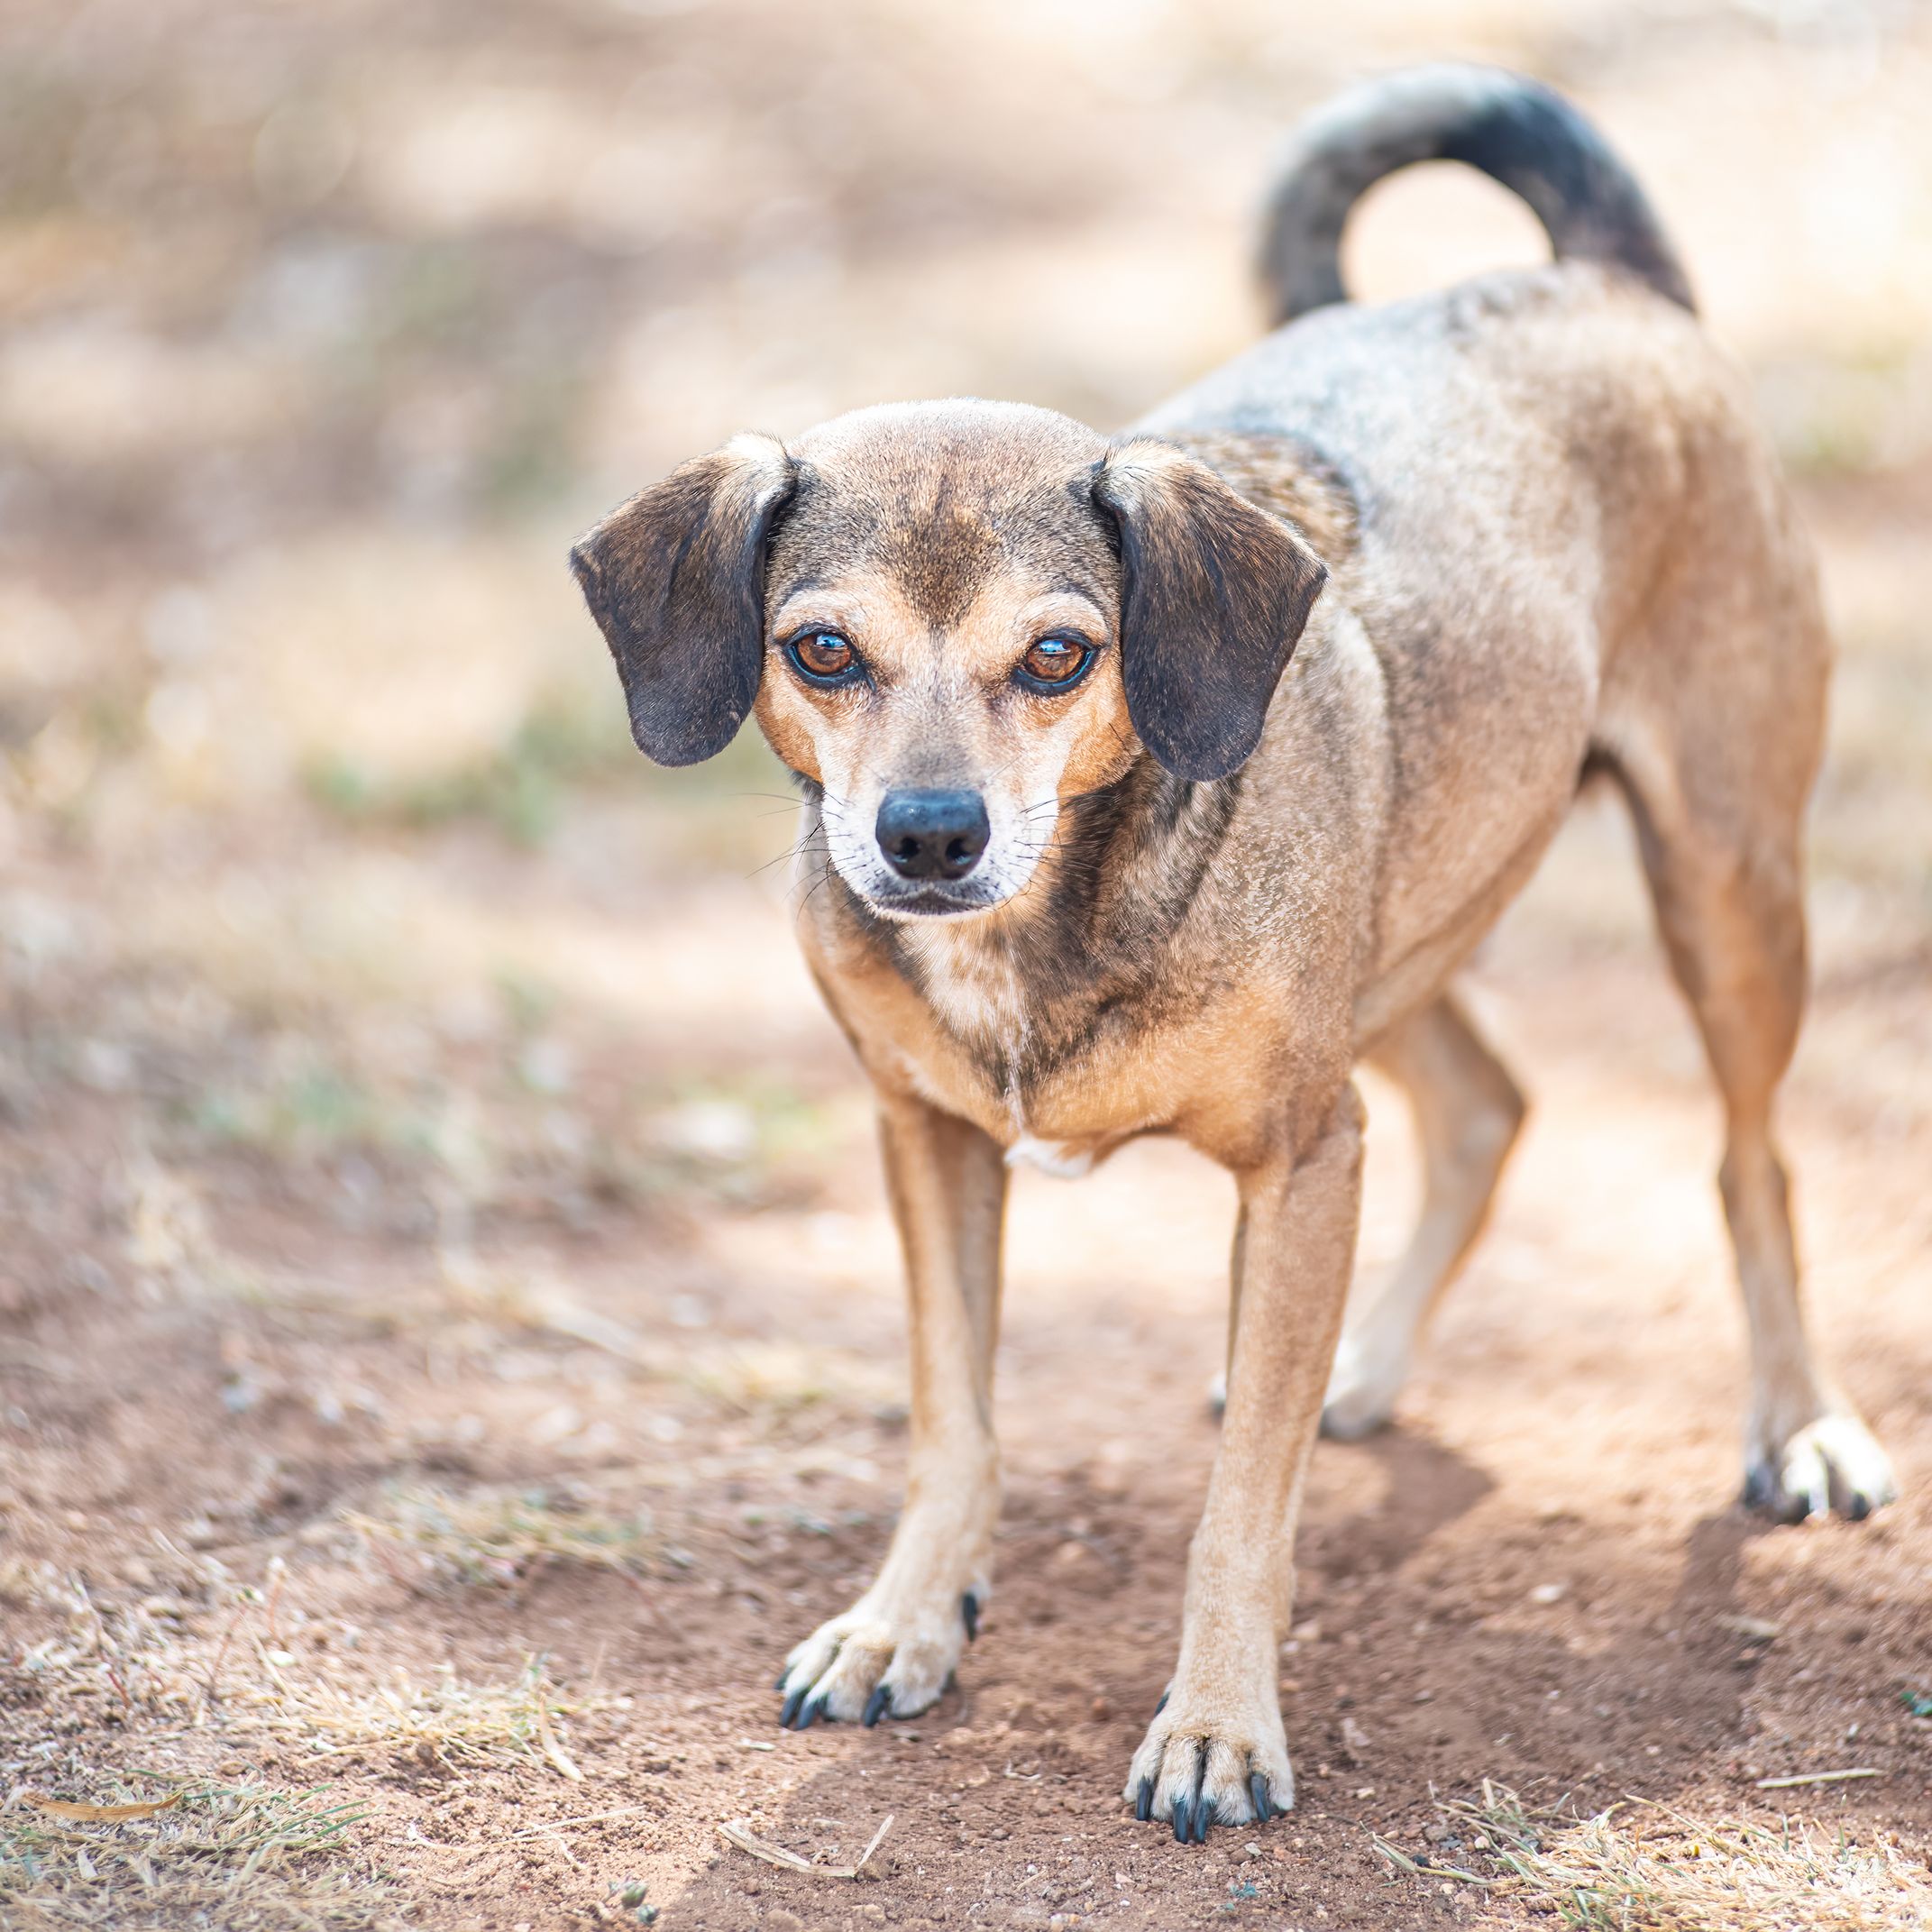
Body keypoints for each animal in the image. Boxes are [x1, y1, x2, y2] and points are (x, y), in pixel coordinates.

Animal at [563, 64, 1893, 1839]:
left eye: (1059, 655)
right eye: (821, 649)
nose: (926, 836)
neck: (1045, 924)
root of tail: (1598, 282)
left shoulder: (1298, 1155)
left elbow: (1239, 1504)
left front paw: (1213, 1722)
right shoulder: (926, 1139)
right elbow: (952, 1420)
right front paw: (905, 1619)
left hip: (1725, 888)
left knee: (1751, 1160)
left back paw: (1799, 1422)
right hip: (1402, 931)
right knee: (1488, 1101)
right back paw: (1365, 1365)